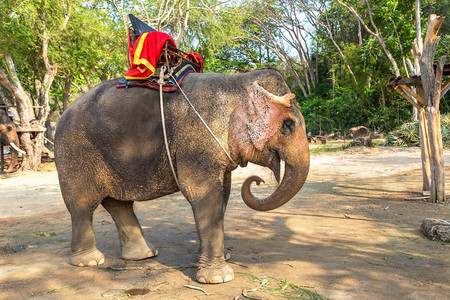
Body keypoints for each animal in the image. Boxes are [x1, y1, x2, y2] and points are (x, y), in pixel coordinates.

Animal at [54, 69, 310, 284]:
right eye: (288, 125)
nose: (257, 180)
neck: (236, 82)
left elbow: (223, 193)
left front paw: (219, 258)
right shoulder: (196, 143)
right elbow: (202, 193)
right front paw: (219, 278)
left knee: (118, 204)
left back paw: (144, 255)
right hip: (74, 155)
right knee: (82, 204)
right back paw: (90, 261)